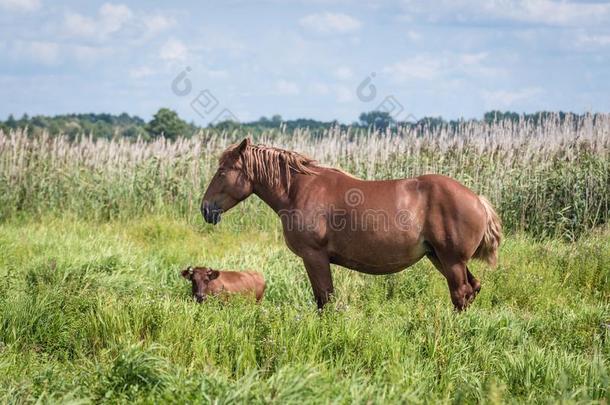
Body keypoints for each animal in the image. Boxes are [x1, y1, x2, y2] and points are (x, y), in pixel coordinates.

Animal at [200, 137, 498, 310]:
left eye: (223, 171)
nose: (206, 209)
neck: (299, 190)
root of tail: (478, 199)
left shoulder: (315, 257)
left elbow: (325, 299)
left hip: (451, 260)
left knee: (460, 293)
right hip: (440, 258)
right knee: (471, 289)